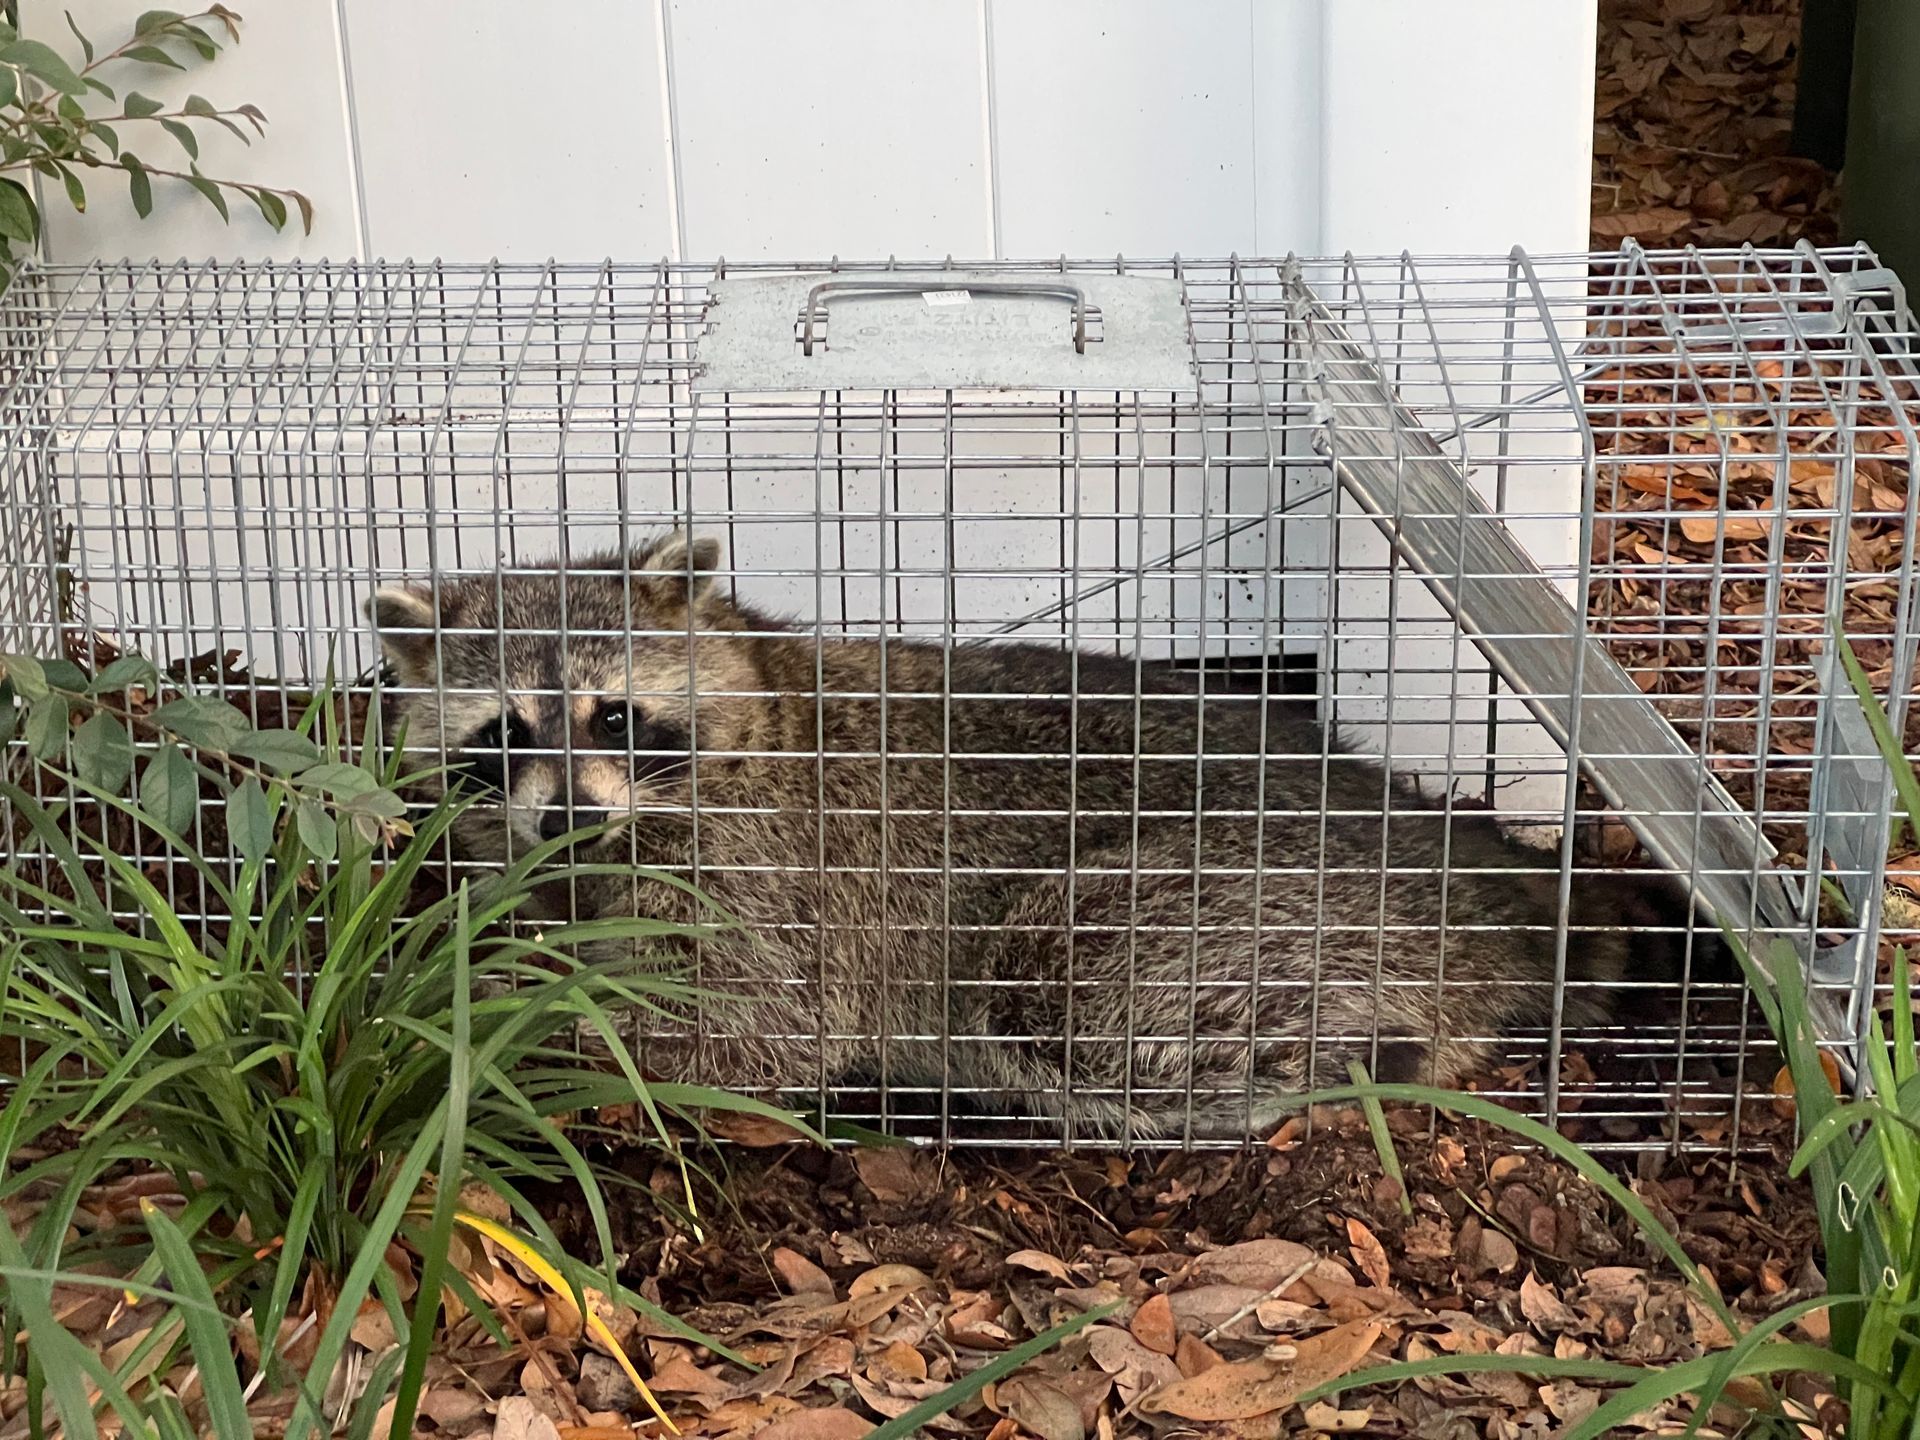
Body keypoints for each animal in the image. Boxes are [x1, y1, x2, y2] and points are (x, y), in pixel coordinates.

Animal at [366, 532, 1723, 1140]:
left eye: (613, 713)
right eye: (503, 734)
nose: (569, 813)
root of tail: (1475, 871)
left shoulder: (778, 878)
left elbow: (740, 1025)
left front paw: (505, 1040)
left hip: (1229, 899)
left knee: (1067, 975)